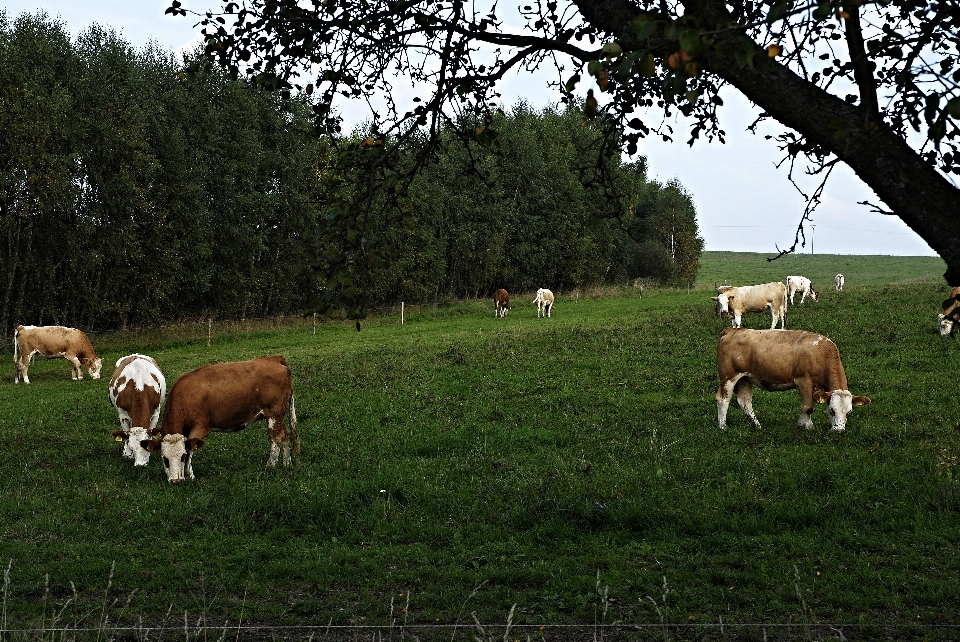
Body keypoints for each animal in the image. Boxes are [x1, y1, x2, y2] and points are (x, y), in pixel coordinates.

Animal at [142, 356, 296, 480]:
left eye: (182, 456)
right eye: (165, 459)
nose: (175, 481)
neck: (185, 397)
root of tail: (273, 358)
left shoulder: (201, 428)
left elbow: (191, 449)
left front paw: (189, 475)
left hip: (274, 412)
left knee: (276, 437)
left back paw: (270, 466)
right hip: (279, 414)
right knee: (286, 434)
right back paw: (287, 463)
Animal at [712, 330, 872, 430]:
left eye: (849, 412)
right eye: (832, 410)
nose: (839, 430)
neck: (822, 352)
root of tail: (731, 330)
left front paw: (801, 423)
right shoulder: (804, 381)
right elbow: (808, 407)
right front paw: (807, 426)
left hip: (746, 378)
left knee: (745, 402)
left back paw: (757, 425)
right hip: (728, 377)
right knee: (723, 399)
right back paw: (723, 426)